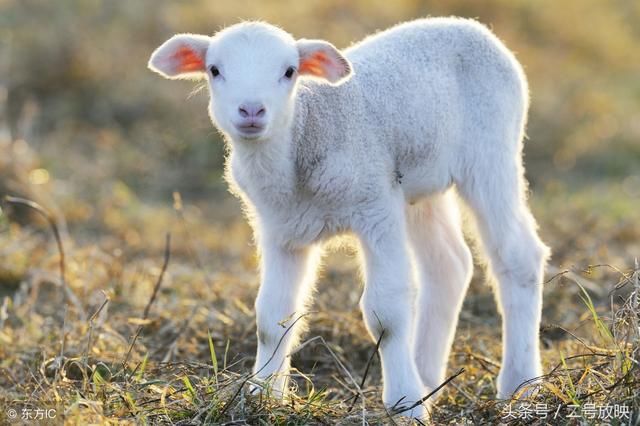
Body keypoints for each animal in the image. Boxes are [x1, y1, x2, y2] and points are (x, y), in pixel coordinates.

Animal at [149, 18, 552, 418]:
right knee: (449, 266)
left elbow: (386, 312)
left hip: (491, 154)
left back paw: (519, 385)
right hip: (419, 186)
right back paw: (427, 379)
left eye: (289, 71)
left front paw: (405, 403)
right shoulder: (280, 229)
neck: (305, 136)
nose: (251, 111)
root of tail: (471, 25)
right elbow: (271, 317)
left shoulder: (376, 206)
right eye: (215, 70)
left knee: (519, 257)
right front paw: (262, 395)